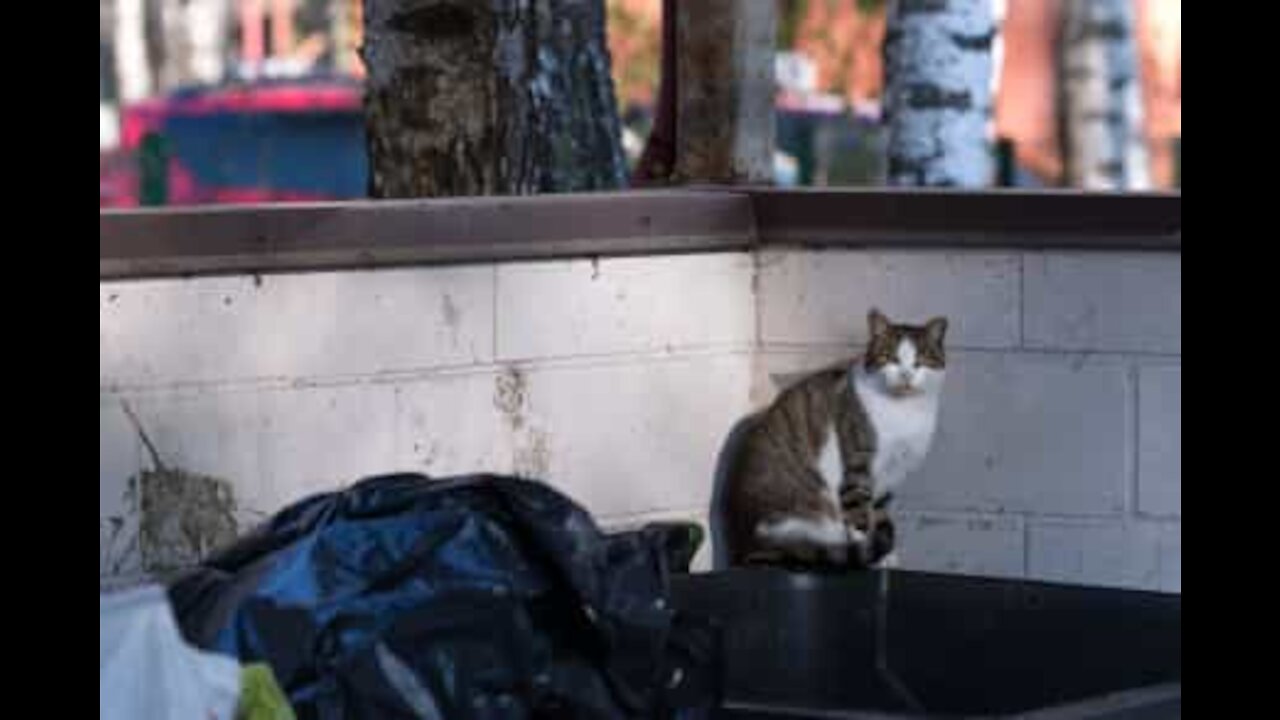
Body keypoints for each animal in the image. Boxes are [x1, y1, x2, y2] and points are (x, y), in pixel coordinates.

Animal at [727, 304, 947, 568]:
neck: (904, 411)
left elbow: (879, 512)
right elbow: (860, 516)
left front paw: (886, 557)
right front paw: (869, 554)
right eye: (889, 358)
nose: (905, 375)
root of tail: (748, 544)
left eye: (920, 361)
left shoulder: (888, 478)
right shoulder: (858, 467)